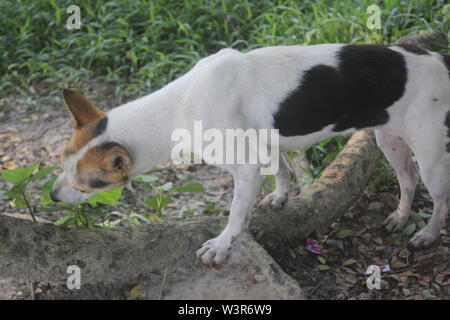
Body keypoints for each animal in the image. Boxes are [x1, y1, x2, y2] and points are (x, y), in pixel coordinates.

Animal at [51, 43, 448, 266]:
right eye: (60, 162)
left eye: (87, 186)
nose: (52, 196)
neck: (180, 104)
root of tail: (440, 61)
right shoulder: (266, 147)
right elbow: (283, 171)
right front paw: (281, 196)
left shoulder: (244, 169)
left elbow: (237, 215)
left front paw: (222, 245)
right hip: (388, 139)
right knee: (408, 179)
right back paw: (400, 217)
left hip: (430, 151)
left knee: (440, 196)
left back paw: (428, 235)